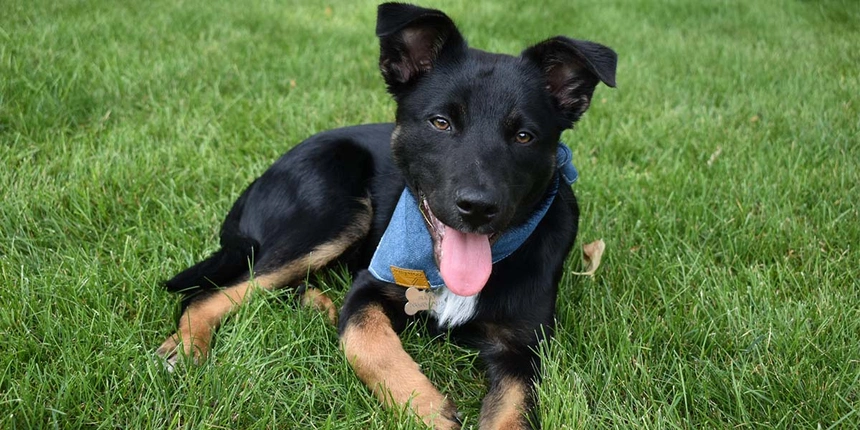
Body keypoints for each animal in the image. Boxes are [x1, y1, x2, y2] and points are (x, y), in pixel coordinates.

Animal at [158, 2, 616, 426]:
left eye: (524, 136)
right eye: (441, 122)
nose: (478, 208)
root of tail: (260, 179)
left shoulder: (523, 349)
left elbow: (513, 413)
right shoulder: (367, 286)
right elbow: (366, 341)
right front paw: (428, 409)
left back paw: (315, 307)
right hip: (336, 210)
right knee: (214, 293)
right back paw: (188, 347)